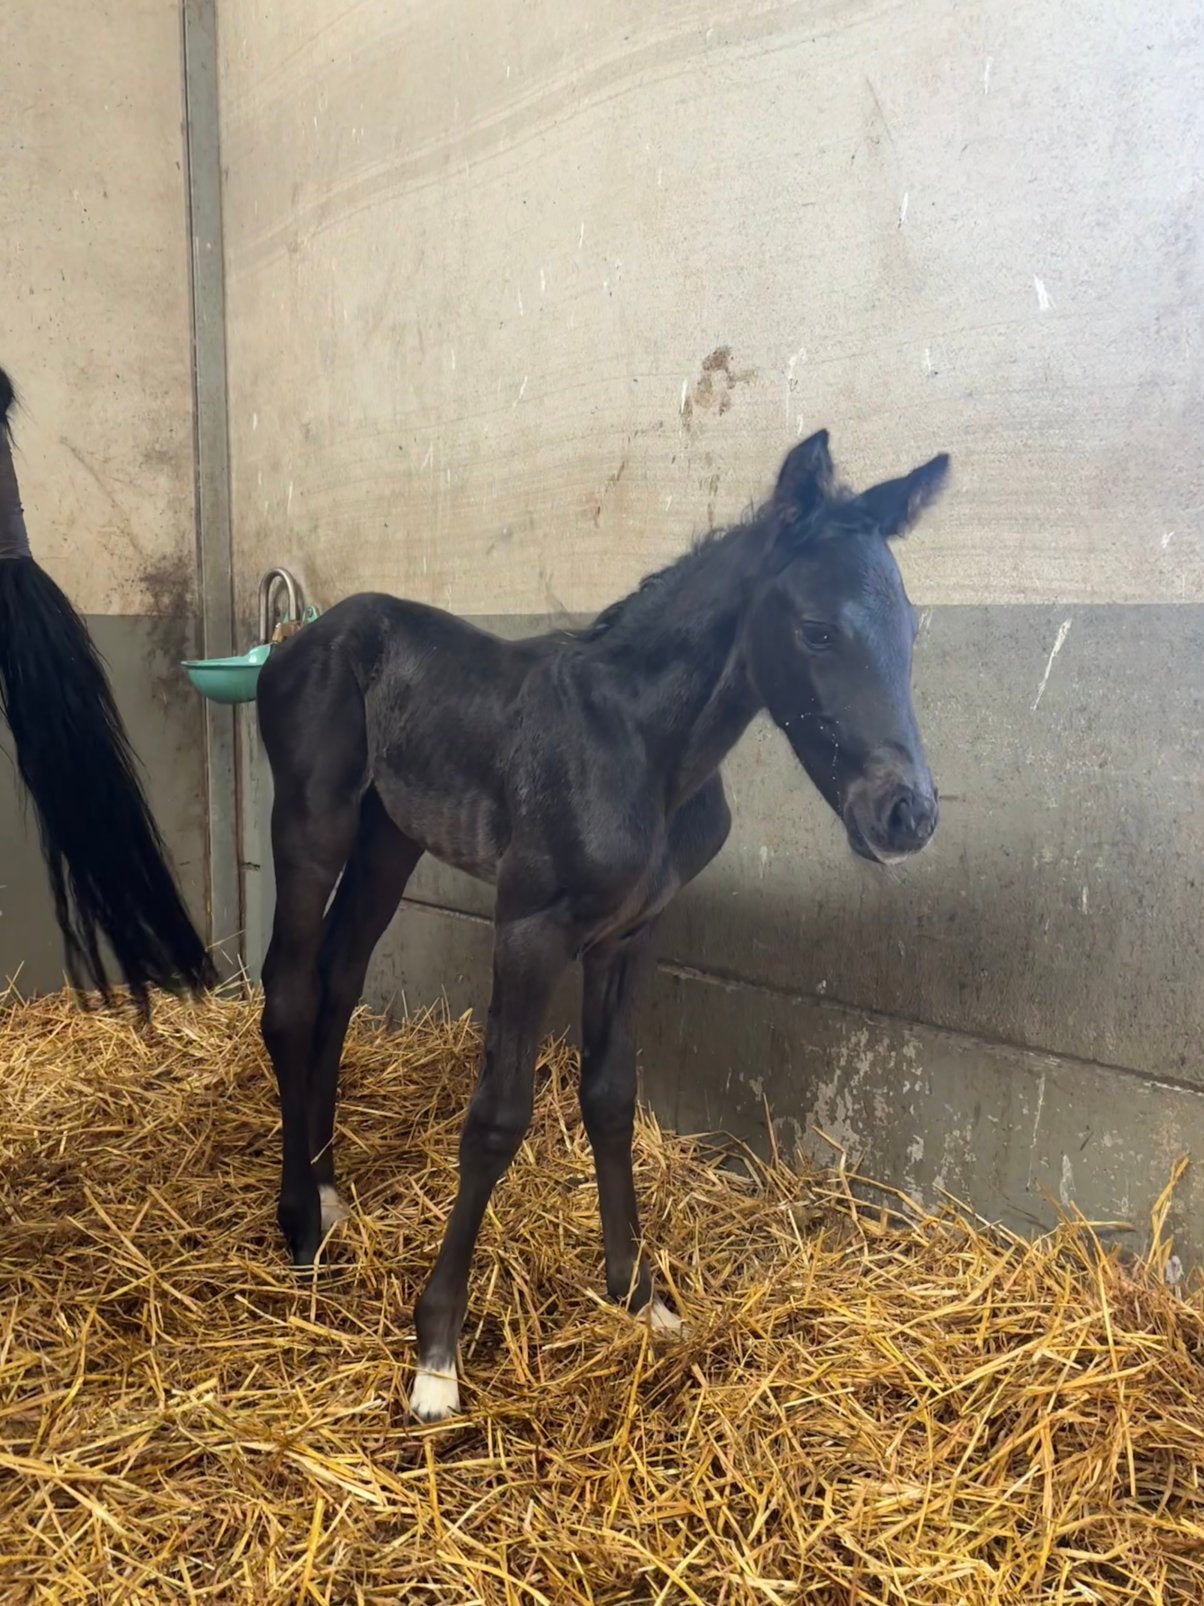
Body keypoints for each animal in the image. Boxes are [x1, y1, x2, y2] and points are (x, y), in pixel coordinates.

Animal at [256, 427, 950, 1422]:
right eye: (817, 630)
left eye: (912, 630)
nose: (908, 815)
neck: (646, 750)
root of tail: (302, 636)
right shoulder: (529, 928)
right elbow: (497, 1119)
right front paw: (436, 1356)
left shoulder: (631, 934)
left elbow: (612, 1096)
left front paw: (638, 1293)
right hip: (313, 822)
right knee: (290, 992)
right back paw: (302, 1228)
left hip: (391, 838)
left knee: (340, 982)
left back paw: (326, 1185)